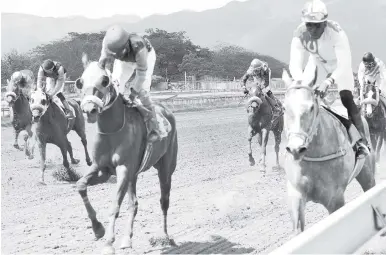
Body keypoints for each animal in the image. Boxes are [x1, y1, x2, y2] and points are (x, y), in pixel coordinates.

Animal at [74, 52, 178, 254]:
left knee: (164, 200)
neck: (112, 131)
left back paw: (164, 236)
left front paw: (108, 243)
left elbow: (115, 205)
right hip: (133, 174)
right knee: (134, 203)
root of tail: (166, 110)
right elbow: (80, 185)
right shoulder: (102, 169)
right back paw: (127, 239)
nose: (89, 110)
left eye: (105, 80)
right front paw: (98, 229)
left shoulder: (123, 168)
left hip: (165, 168)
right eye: (80, 82)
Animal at [282, 69, 376, 233]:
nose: (296, 149)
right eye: (284, 108)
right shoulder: (296, 195)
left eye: (311, 107)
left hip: (367, 175)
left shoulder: (335, 200)